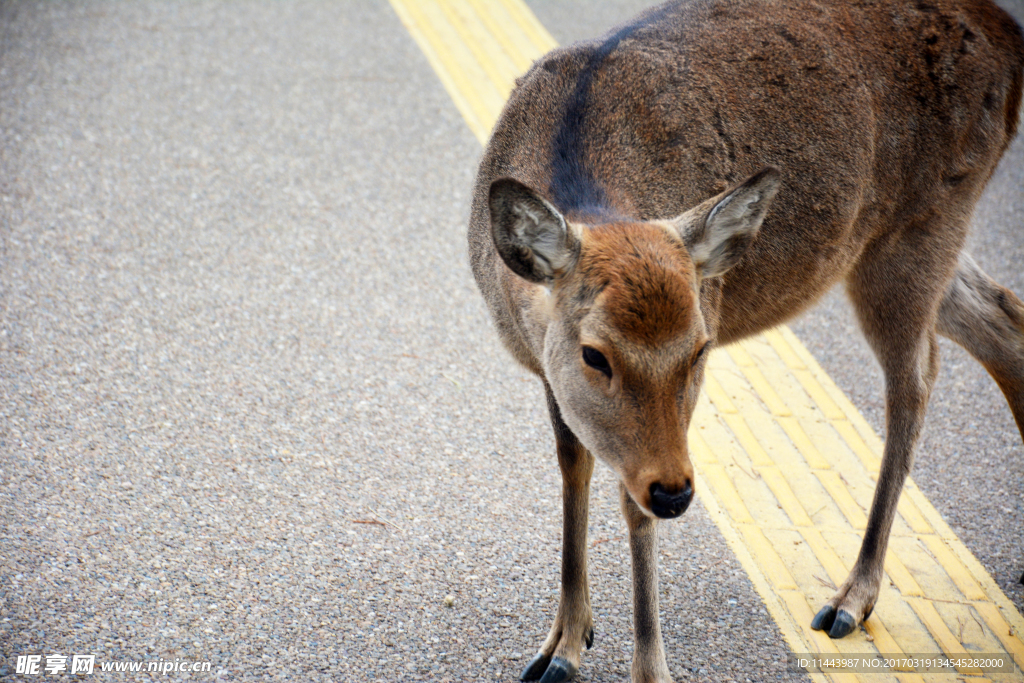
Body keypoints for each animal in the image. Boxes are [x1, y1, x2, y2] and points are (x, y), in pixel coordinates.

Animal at [468, 1, 1019, 683]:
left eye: (700, 348)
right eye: (593, 354)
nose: (676, 492)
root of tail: (1010, 37)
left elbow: (629, 503)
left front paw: (647, 667)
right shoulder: (546, 370)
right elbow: (574, 466)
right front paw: (563, 644)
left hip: (925, 223)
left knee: (914, 385)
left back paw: (851, 597)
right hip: (912, 240)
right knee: (1002, 315)